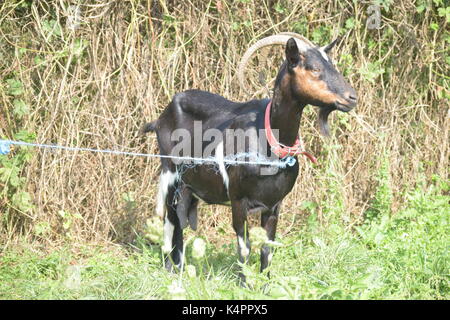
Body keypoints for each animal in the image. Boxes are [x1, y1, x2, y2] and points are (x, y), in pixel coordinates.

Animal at [142, 33, 356, 282]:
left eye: (333, 65)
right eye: (314, 68)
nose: (351, 97)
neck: (271, 142)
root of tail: (161, 118)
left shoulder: (274, 204)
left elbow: (267, 248)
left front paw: (265, 284)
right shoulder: (238, 199)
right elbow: (244, 246)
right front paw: (244, 283)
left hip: (189, 188)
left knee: (180, 224)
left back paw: (180, 268)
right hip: (169, 175)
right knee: (169, 223)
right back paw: (169, 270)